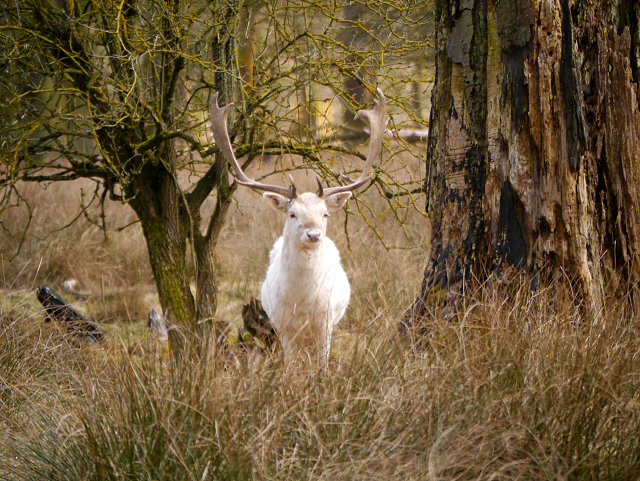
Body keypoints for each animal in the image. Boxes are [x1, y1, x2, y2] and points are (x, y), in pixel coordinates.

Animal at [209, 89, 386, 361]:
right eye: (292, 214)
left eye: (325, 214)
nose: (313, 234)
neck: (301, 305)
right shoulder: (283, 326)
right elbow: (291, 363)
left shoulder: (325, 323)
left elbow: (322, 362)